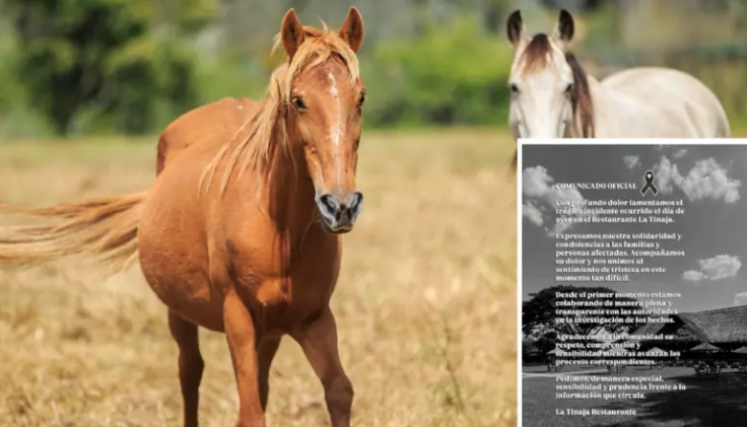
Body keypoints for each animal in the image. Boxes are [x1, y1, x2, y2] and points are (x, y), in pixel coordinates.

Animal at [0, 7, 366, 427]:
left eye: (361, 98)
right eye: (299, 100)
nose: (340, 205)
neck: (280, 229)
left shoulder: (313, 319)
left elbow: (338, 391)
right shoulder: (238, 318)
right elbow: (249, 411)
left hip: (270, 330)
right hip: (179, 313)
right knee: (190, 372)